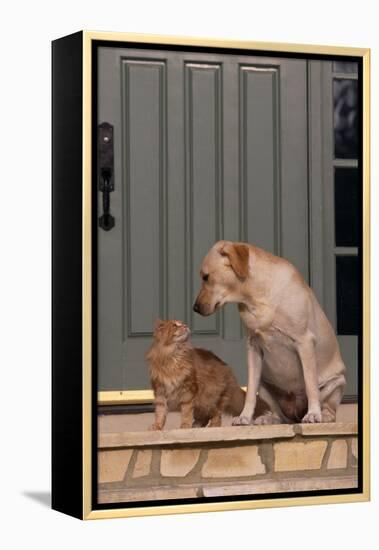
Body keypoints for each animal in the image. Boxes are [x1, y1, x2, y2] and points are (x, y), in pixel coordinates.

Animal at [196, 242, 348, 426]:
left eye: (206, 277)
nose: (195, 308)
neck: (256, 297)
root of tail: (296, 414)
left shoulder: (304, 342)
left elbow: (310, 385)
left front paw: (313, 414)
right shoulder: (253, 348)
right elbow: (250, 392)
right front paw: (245, 417)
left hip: (336, 383)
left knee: (330, 410)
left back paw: (322, 415)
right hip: (264, 386)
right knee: (282, 417)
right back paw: (268, 418)